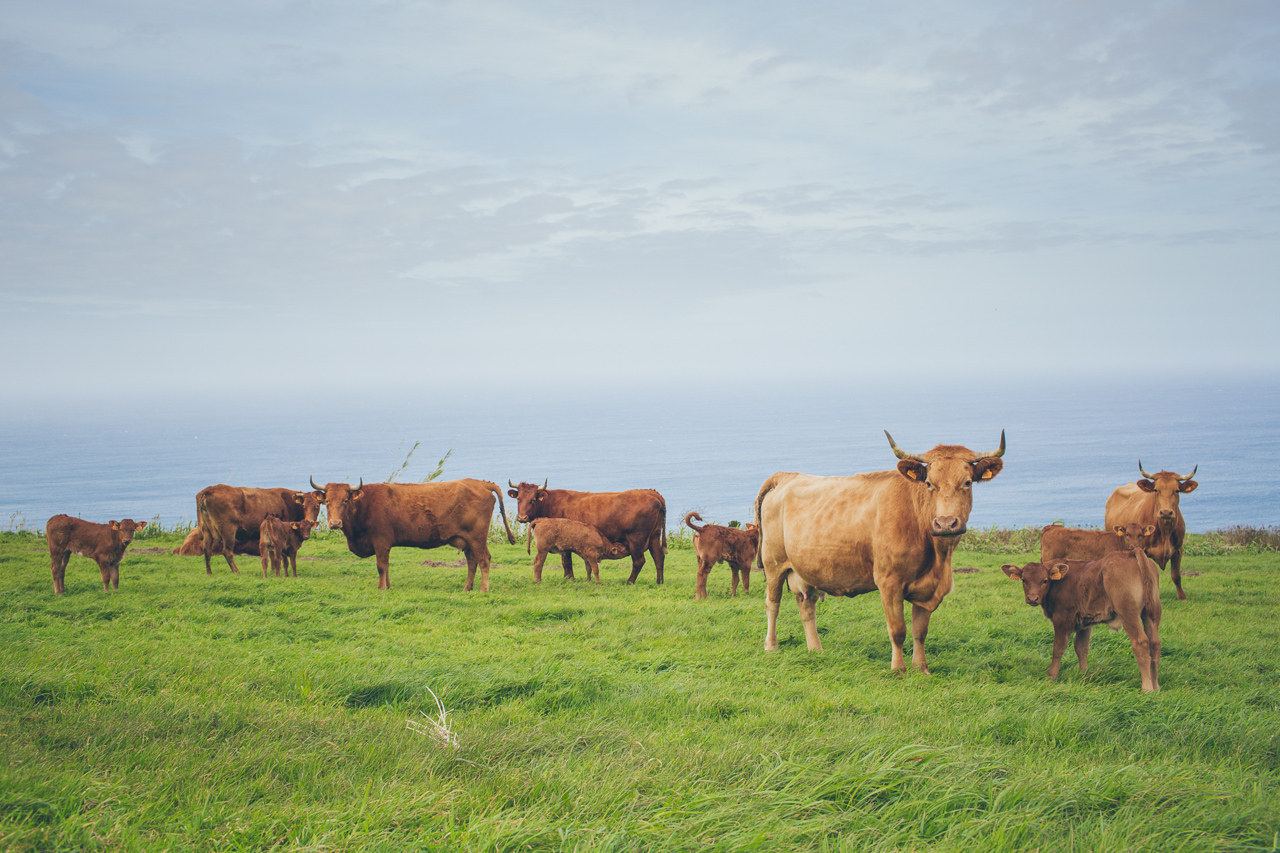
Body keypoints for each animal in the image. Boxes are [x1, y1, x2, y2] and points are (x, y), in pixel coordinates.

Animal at [310, 477, 515, 591]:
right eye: (326, 501)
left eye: (345, 500)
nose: (334, 523)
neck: (365, 504)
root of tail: (481, 484)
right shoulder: (385, 545)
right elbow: (387, 566)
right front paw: (388, 587)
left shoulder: (380, 542)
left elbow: (381, 567)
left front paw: (381, 588)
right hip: (467, 541)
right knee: (472, 562)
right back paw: (467, 588)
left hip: (477, 538)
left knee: (484, 560)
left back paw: (483, 589)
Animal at [506, 481, 667, 584]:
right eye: (518, 499)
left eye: (533, 500)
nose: (522, 517)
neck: (550, 502)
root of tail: (651, 493)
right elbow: (567, 562)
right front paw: (569, 578)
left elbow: (567, 561)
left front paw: (570, 579)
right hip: (654, 536)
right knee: (658, 557)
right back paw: (659, 581)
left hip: (637, 539)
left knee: (639, 561)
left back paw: (629, 582)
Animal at [755, 430, 1006, 673]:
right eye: (929, 483)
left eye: (967, 483)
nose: (945, 523)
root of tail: (787, 476)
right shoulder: (889, 581)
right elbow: (898, 630)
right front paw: (898, 669)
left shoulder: (927, 588)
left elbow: (920, 632)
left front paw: (921, 668)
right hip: (773, 564)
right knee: (772, 603)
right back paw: (771, 647)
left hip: (804, 569)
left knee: (806, 607)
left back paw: (816, 650)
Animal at [1001, 549, 1162, 692]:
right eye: (1024, 580)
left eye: (1045, 580)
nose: (1033, 598)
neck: (1059, 581)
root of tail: (1130, 553)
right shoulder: (1085, 622)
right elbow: (1081, 647)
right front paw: (1083, 674)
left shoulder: (1061, 619)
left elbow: (1058, 648)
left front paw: (1051, 676)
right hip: (1151, 613)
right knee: (1154, 644)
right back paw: (1156, 685)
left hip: (1128, 613)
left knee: (1141, 643)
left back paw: (1147, 687)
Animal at [1104, 463, 1199, 600]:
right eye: (1156, 490)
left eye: (1176, 490)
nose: (1166, 512)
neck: (1165, 532)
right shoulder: (1142, 549)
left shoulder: (1178, 549)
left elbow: (1176, 576)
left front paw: (1182, 597)